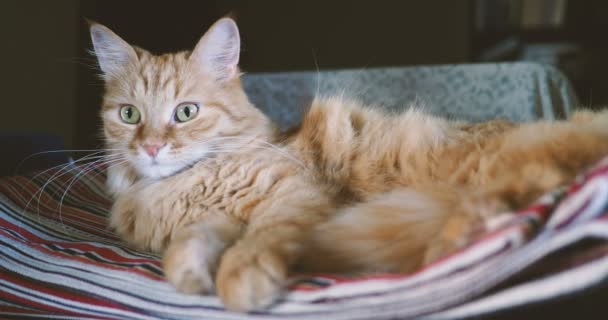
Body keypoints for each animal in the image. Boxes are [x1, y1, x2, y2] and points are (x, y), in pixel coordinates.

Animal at [89, 16, 608, 310]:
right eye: (129, 115)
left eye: (186, 112)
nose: (151, 148)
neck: (183, 186)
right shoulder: (213, 220)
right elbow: (185, 250)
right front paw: (193, 277)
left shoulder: (293, 193)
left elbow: (260, 241)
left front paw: (242, 280)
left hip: (468, 164)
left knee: (516, 194)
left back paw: (452, 246)